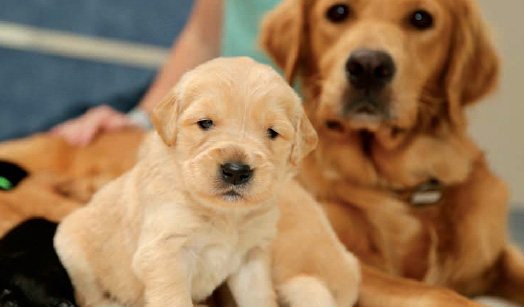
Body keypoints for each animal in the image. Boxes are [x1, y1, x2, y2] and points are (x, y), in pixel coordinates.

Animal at [54, 57, 320, 307]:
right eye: (205, 122)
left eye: (272, 132)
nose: (235, 171)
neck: (224, 214)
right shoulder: (165, 253)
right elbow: (174, 299)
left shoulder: (251, 256)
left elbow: (259, 298)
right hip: (71, 248)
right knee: (90, 295)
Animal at [262, 0, 524, 306]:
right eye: (338, 12)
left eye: (421, 18)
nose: (368, 66)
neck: (404, 188)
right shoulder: (341, 262)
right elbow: (436, 292)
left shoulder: (495, 256)